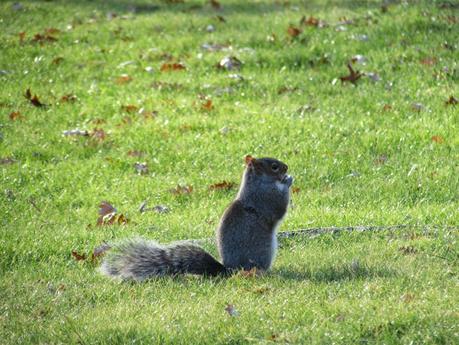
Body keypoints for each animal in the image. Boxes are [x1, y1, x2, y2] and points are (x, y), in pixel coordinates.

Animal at [100, 156, 294, 280]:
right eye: (274, 166)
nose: (286, 167)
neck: (258, 183)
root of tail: (228, 271)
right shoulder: (265, 198)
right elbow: (279, 207)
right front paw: (288, 180)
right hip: (262, 253)